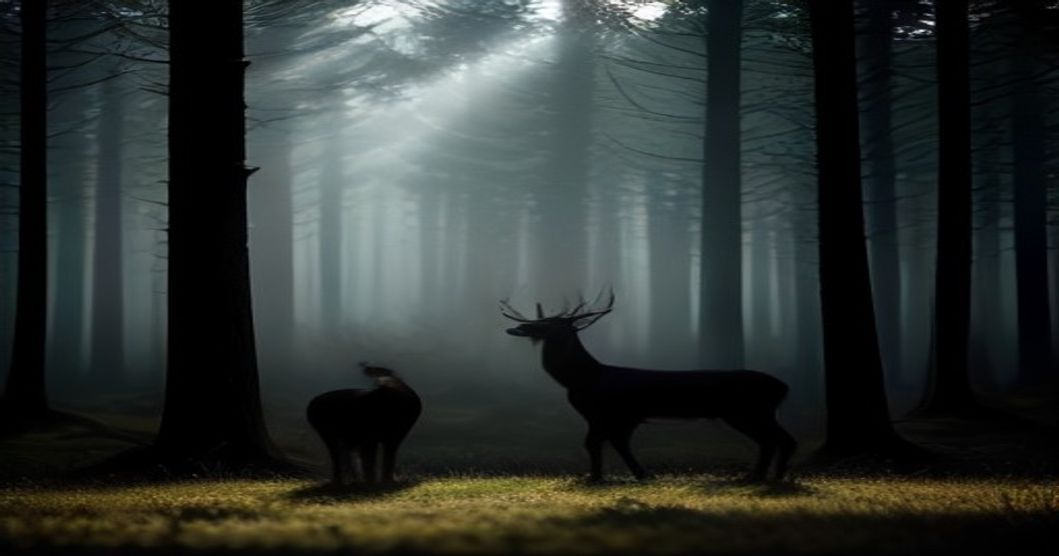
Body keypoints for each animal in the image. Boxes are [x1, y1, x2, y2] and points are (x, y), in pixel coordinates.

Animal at [502, 293, 796, 482]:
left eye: (548, 323)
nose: (519, 326)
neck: (583, 378)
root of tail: (784, 387)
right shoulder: (623, 417)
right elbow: (611, 443)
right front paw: (634, 474)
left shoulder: (611, 413)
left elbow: (596, 442)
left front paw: (597, 477)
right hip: (752, 412)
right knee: (775, 440)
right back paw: (760, 477)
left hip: (747, 411)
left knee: (778, 439)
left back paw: (771, 478)